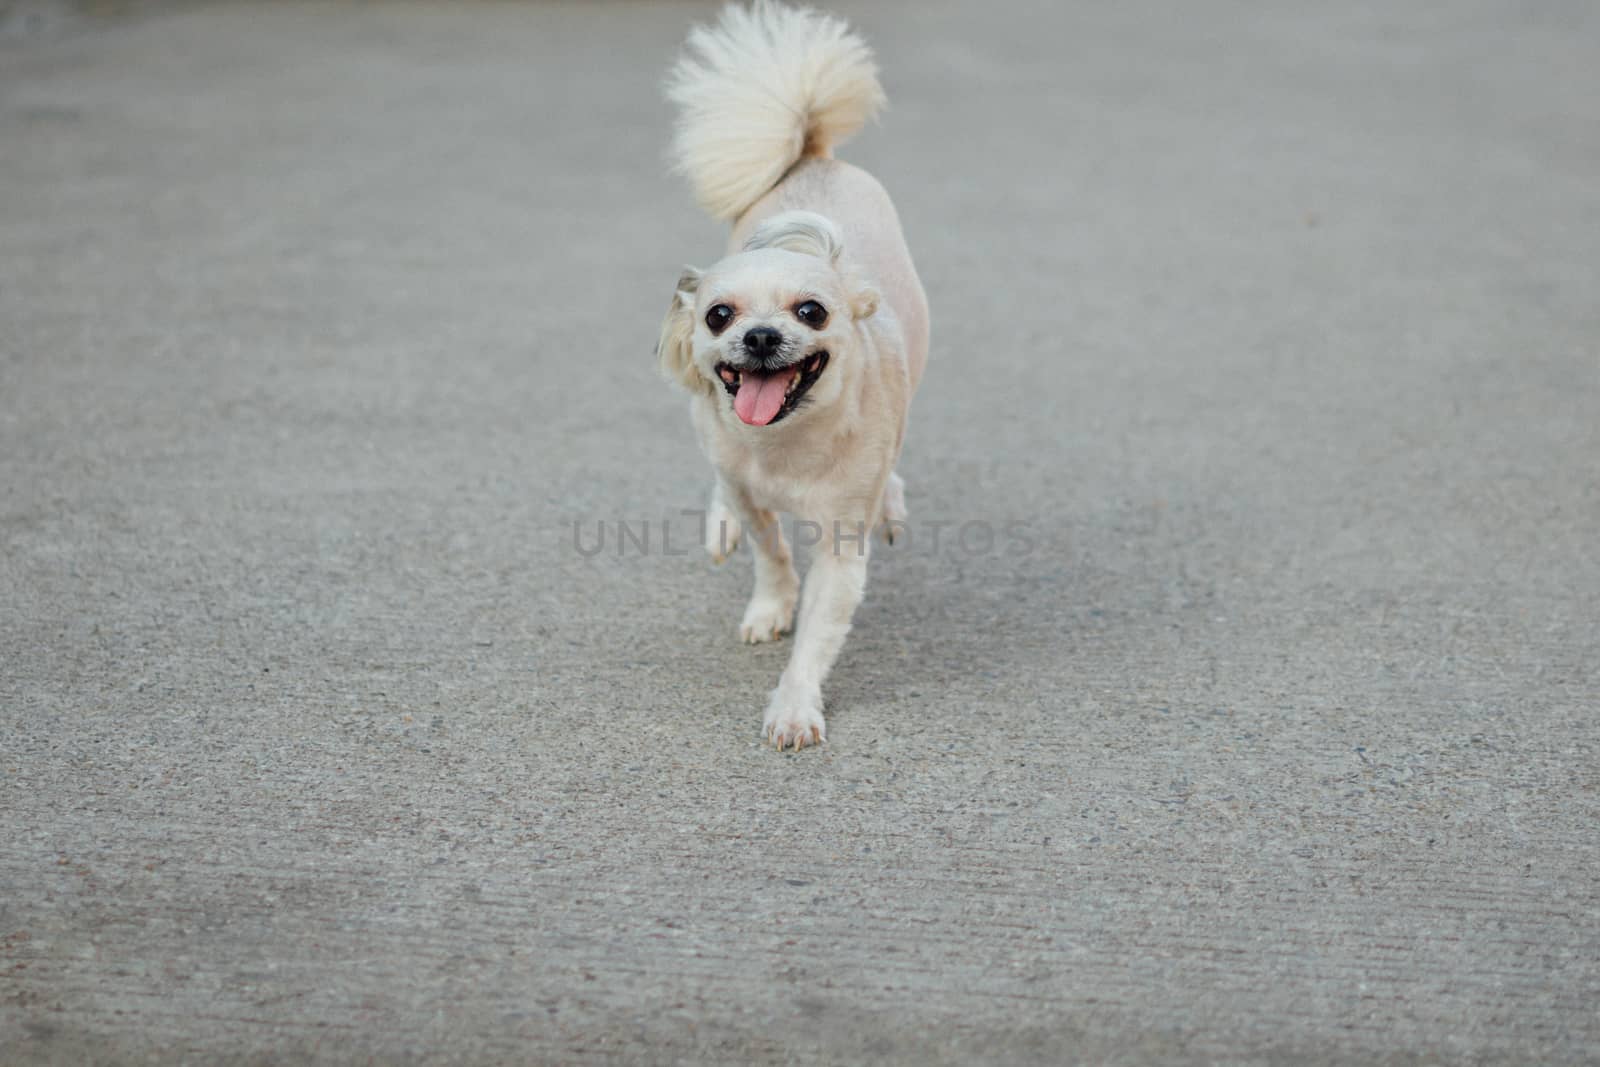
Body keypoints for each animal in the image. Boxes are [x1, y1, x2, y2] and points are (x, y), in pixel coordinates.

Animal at [652, 0, 928, 751]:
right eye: (718, 314)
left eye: (812, 310)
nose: (760, 335)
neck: (783, 444)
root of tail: (812, 154)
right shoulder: (752, 492)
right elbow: (769, 550)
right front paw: (771, 606)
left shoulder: (841, 547)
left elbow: (817, 635)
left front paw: (795, 706)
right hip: (705, 427)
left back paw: (893, 503)